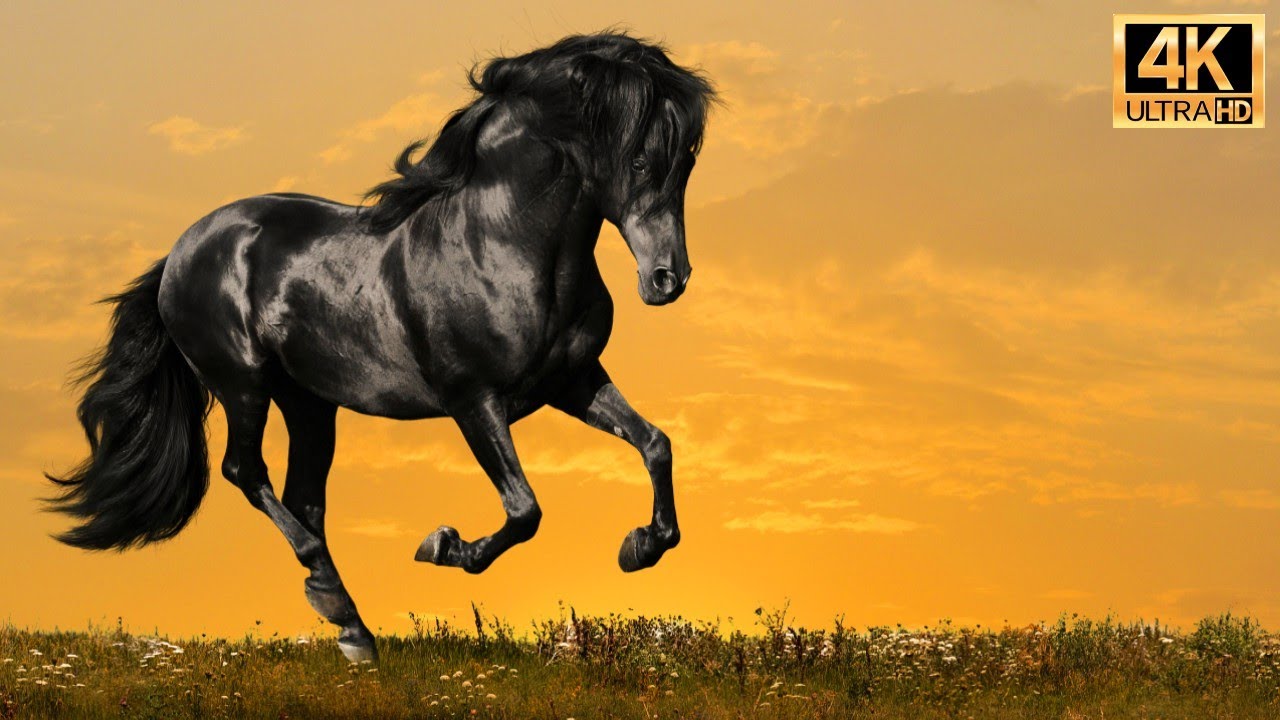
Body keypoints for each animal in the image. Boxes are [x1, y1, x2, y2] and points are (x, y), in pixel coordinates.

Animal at [45, 31, 716, 662]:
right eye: (638, 161)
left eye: (686, 161)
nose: (668, 280)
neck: (502, 246)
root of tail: (181, 253)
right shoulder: (473, 401)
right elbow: (524, 510)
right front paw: (444, 546)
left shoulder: (571, 381)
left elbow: (655, 444)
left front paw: (639, 547)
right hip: (244, 386)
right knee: (247, 472)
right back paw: (335, 602)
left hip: (310, 404)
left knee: (303, 499)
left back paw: (353, 630)